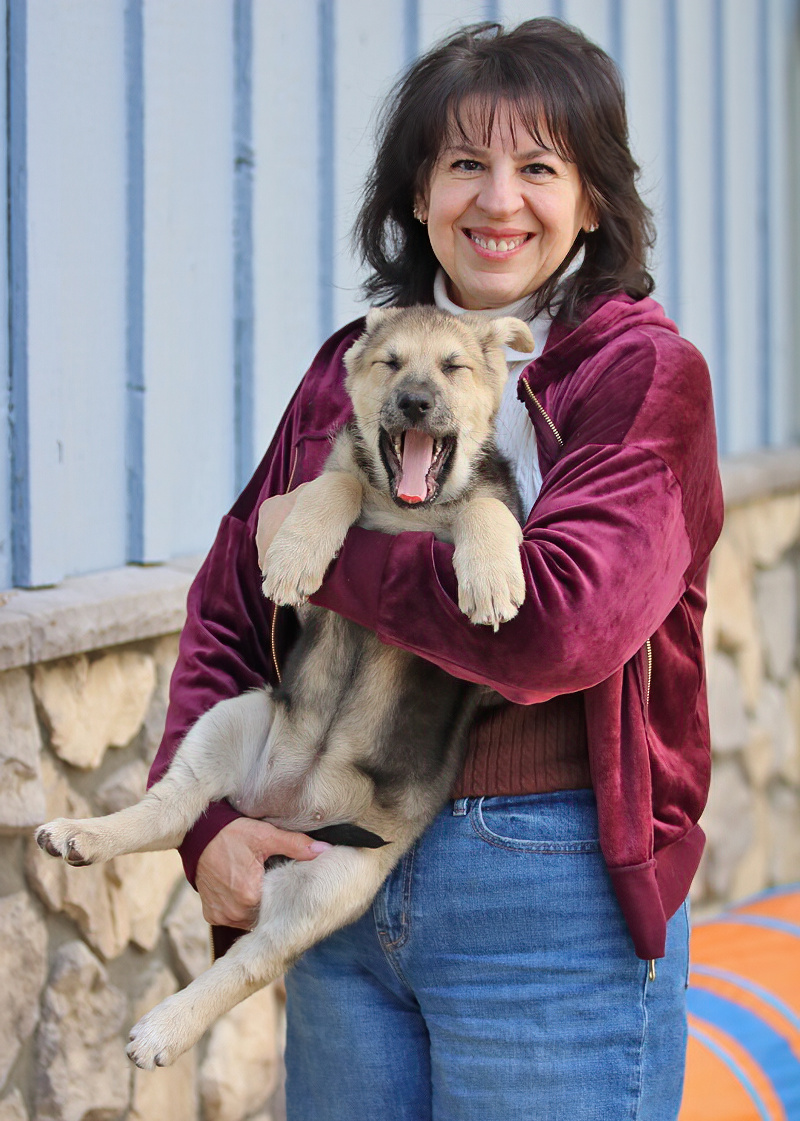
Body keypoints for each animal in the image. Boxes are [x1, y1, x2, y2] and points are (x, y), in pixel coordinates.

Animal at [35, 305, 534, 1069]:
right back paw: (82, 835)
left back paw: (164, 1027)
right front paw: (297, 553)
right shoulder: (335, 500)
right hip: (234, 720)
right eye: (390, 363)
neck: (410, 510)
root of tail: (278, 814)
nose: (416, 403)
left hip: (331, 884)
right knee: (170, 811)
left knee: (251, 961)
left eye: (453, 368)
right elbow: (337, 484)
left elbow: (486, 508)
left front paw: (493, 576)